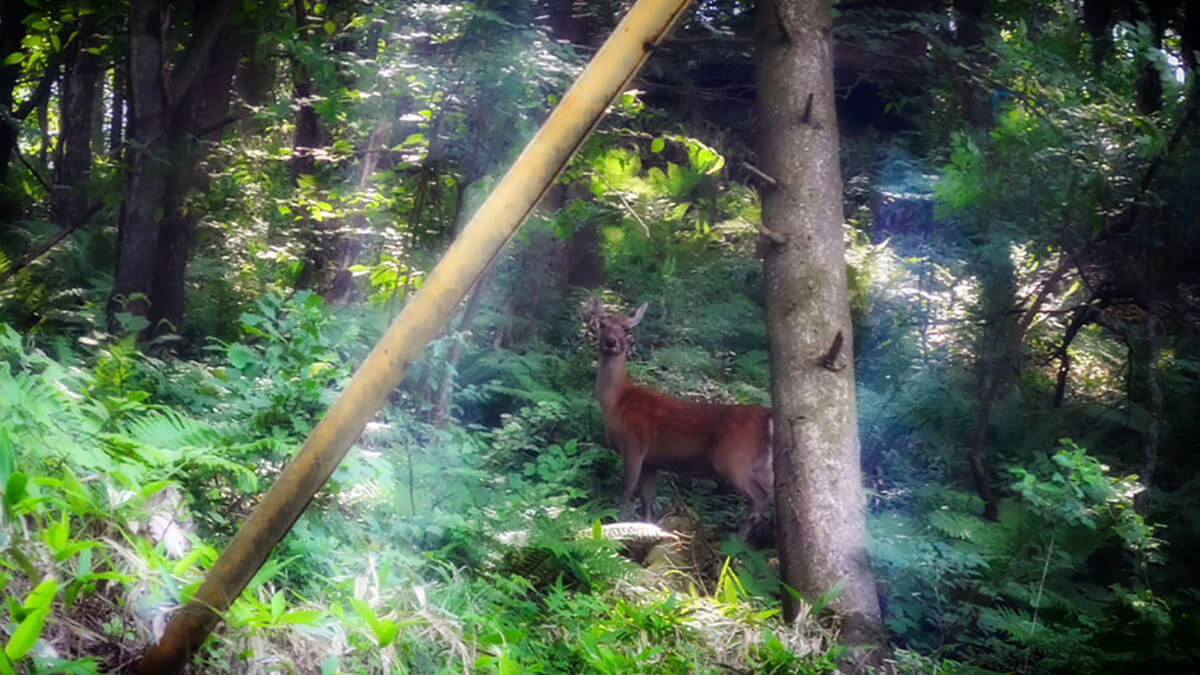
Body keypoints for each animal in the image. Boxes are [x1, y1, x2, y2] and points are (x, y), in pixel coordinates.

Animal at [585, 296, 772, 538]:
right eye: (603, 325)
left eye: (626, 329)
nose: (611, 342)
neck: (617, 401)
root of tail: (767, 416)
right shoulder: (652, 460)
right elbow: (647, 499)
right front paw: (648, 529)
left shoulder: (634, 443)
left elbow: (626, 492)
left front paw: (620, 525)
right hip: (762, 464)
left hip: (733, 456)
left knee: (759, 497)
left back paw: (737, 542)